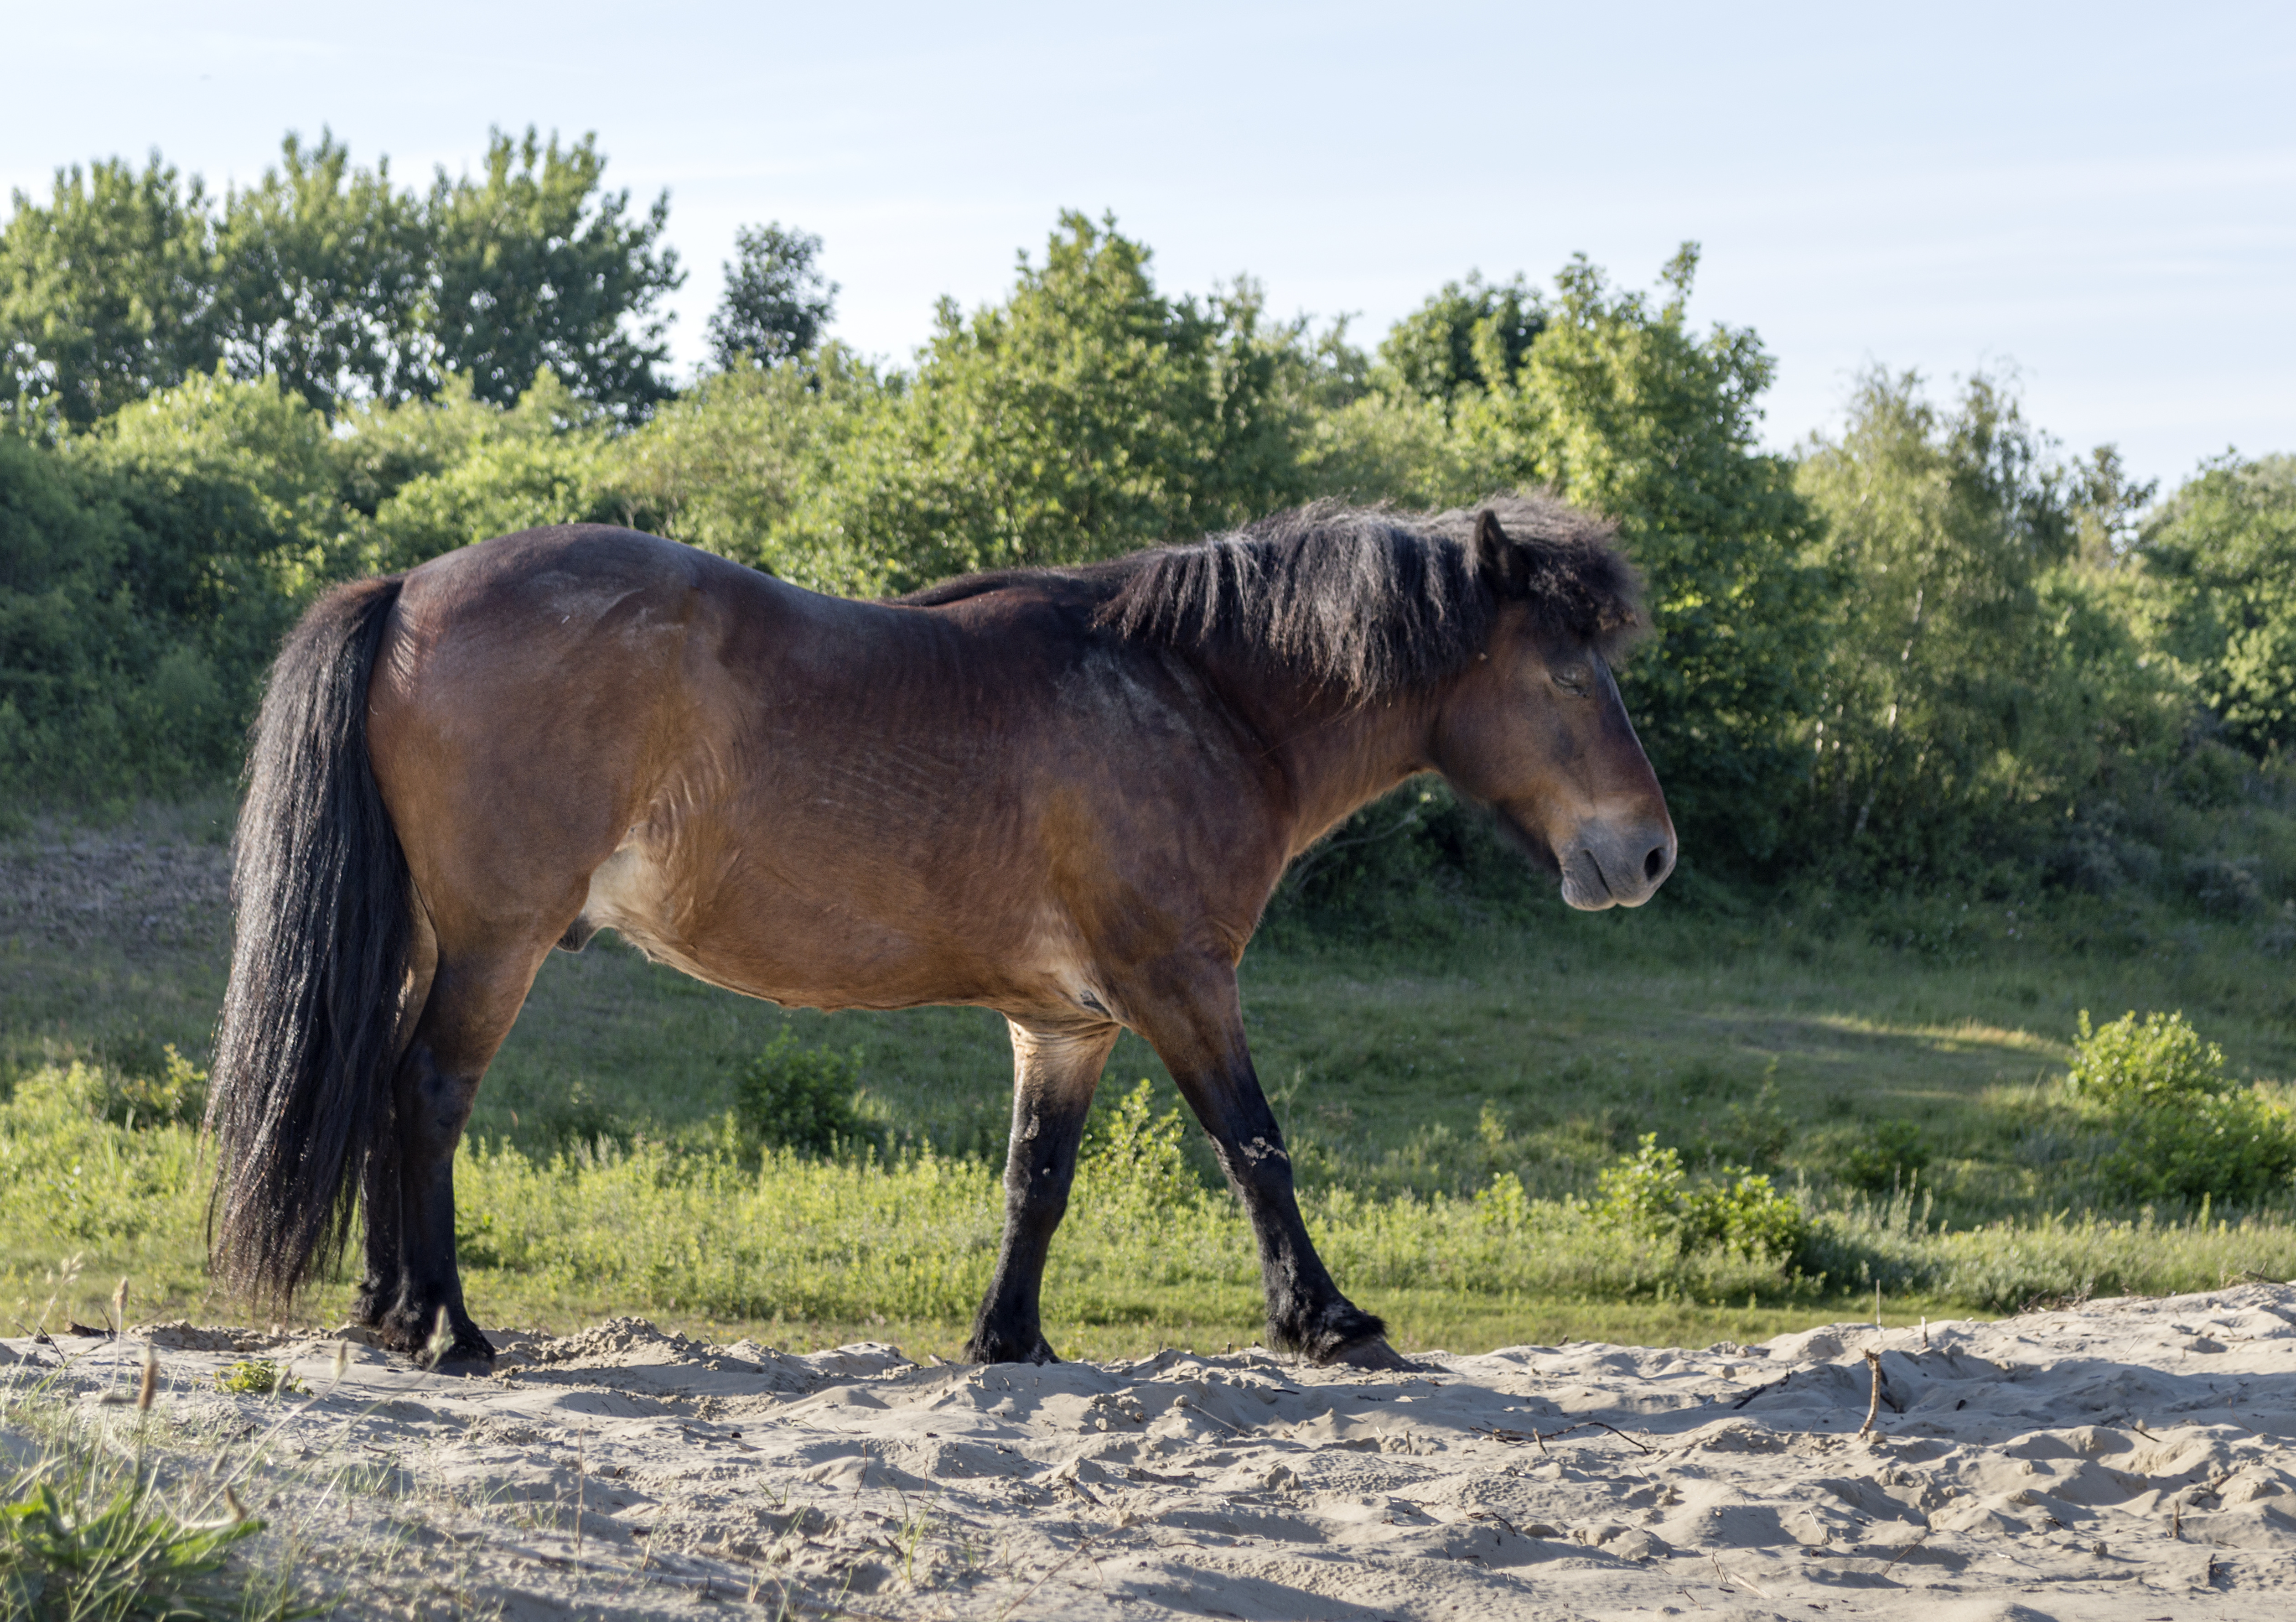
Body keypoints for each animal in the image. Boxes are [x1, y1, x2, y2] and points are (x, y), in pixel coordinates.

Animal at [211, 491, 1671, 1360]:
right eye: (1566, 671)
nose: (1648, 852)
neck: (1190, 691)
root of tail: (409, 586)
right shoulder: (1180, 980)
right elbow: (1257, 1146)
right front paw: (1325, 1320)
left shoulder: (1066, 1023)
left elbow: (1038, 1181)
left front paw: (1008, 1340)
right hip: (496, 943)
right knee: (426, 1092)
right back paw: (448, 1328)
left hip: (430, 941)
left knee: (383, 1087)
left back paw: (387, 1311)